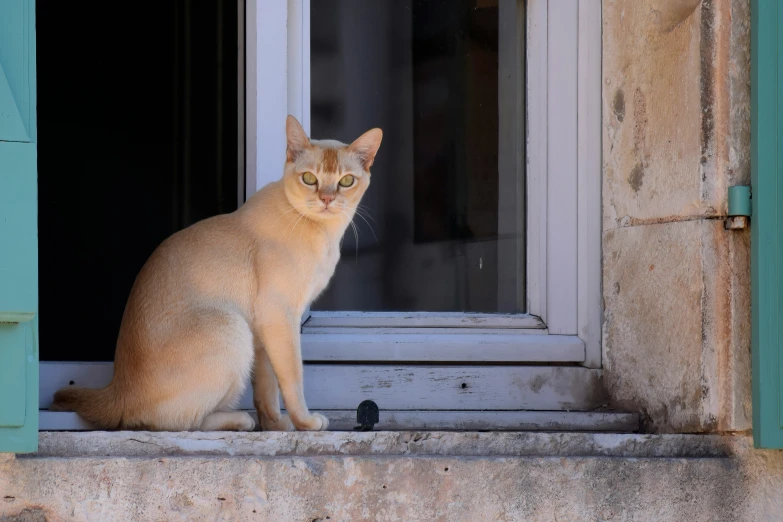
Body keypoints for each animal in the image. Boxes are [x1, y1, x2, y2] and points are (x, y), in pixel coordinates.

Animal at [51, 117, 382, 430]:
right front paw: (305, 423)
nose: (327, 199)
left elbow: (267, 389)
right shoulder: (279, 314)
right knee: (168, 422)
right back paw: (239, 420)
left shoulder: (264, 329)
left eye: (346, 181)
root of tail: (117, 388)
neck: (323, 232)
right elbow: (292, 378)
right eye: (309, 179)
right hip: (231, 327)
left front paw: (276, 426)